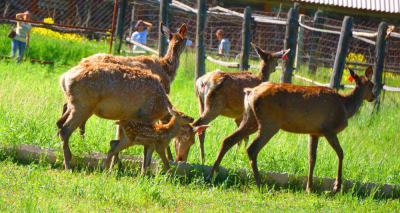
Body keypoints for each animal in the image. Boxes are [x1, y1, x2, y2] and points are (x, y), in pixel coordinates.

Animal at [55, 61, 206, 170]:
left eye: (193, 141)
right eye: (186, 138)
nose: (181, 159)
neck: (162, 106)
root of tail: (63, 78)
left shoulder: (126, 117)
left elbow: (116, 140)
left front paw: (114, 166)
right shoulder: (147, 116)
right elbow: (146, 148)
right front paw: (144, 171)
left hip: (75, 104)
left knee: (59, 122)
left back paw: (66, 158)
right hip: (83, 105)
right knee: (65, 130)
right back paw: (67, 165)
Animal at [205, 66, 376, 193]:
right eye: (373, 85)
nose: (373, 97)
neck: (345, 107)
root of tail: (250, 92)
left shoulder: (314, 132)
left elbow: (312, 159)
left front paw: (309, 188)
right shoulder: (329, 129)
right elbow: (340, 153)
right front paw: (336, 186)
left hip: (250, 118)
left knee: (228, 140)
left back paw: (211, 176)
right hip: (269, 122)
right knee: (251, 148)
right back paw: (260, 184)